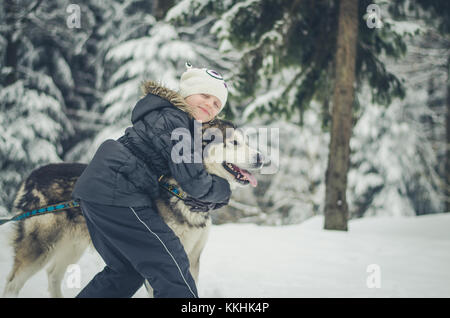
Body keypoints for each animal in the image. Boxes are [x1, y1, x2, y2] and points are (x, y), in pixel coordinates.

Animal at [2, 119, 264, 298]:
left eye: (247, 142)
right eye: (234, 143)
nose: (262, 158)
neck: (182, 193)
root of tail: (34, 174)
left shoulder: (194, 257)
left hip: (71, 246)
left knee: (53, 275)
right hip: (40, 246)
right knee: (13, 283)